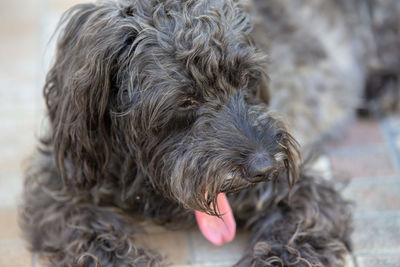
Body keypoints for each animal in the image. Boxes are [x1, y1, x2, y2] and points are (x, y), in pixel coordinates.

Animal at [21, 0, 400, 266]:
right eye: (186, 100)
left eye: (246, 79)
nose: (266, 167)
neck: (148, 178)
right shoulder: (59, 185)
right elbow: (88, 234)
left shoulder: (304, 190)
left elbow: (296, 232)